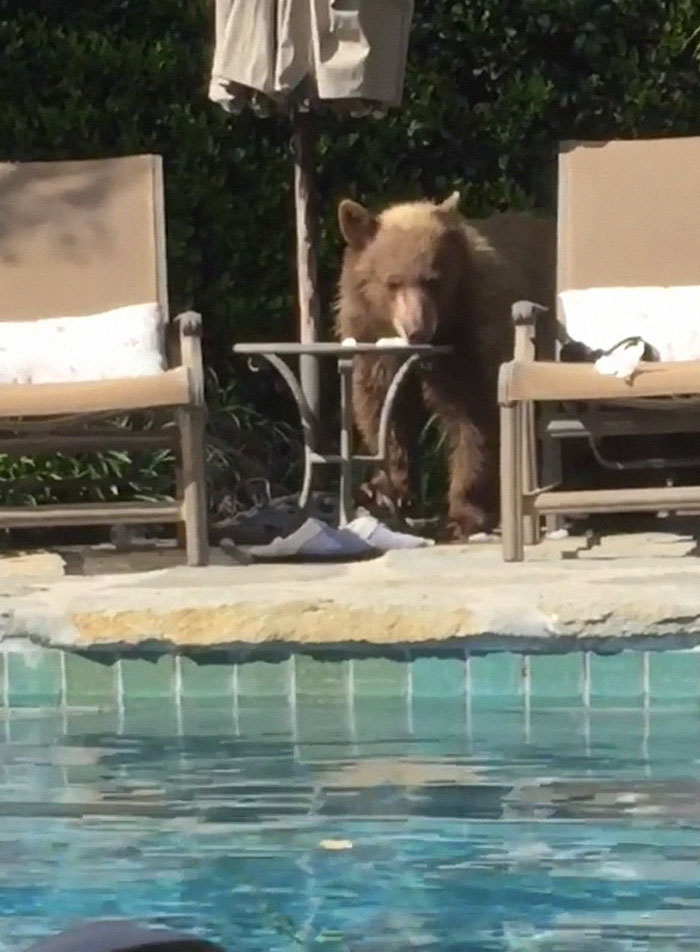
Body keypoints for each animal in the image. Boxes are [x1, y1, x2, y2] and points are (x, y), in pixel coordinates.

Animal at [334, 191, 556, 539]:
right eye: (393, 283)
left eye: (433, 281)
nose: (417, 329)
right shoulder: (371, 339)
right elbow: (383, 408)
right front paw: (385, 492)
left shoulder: (473, 338)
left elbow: (473, 417)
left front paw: (463, 515)